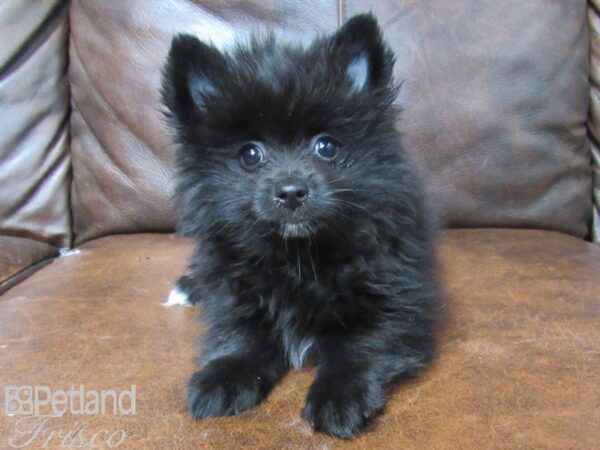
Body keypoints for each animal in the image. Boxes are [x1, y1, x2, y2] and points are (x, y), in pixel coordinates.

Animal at [162, 14, 438, 440]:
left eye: (327, 147)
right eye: (250, 154)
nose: (291, 191)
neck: (298, 257)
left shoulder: (395, 295)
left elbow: (361, 344)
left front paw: (339, 397)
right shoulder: (233, 289)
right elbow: (240, 334)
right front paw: (222, 376)